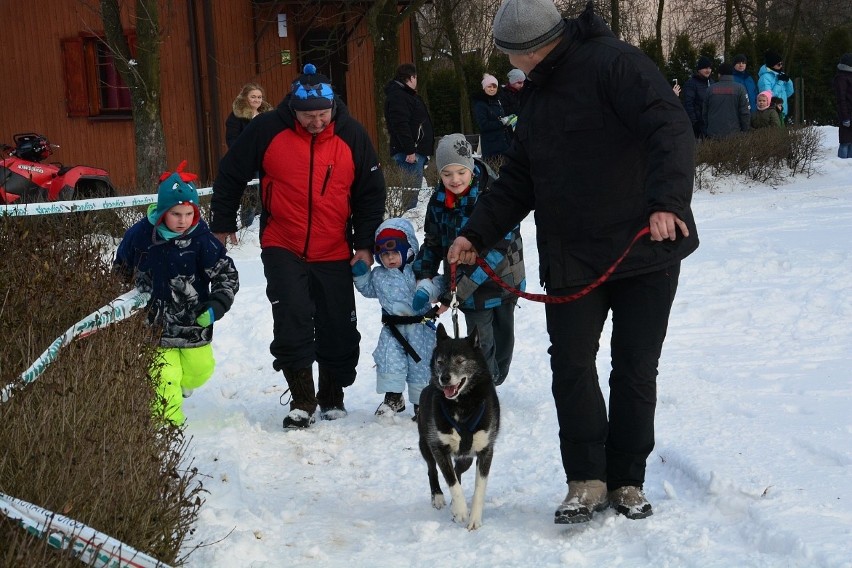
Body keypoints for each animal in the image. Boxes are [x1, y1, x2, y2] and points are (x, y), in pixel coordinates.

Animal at [418, 326, 500, 532]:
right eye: (440, 361)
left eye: (460, 360)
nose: (444, 377)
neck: (462, 403)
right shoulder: (439, 447)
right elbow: (452, 482)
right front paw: (461, 510)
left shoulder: (486, 450)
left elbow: (479, 488)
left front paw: (474, 519)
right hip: (425, 444)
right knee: (433, 470)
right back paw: (439, 497)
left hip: (466, 458)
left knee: (458, 469)